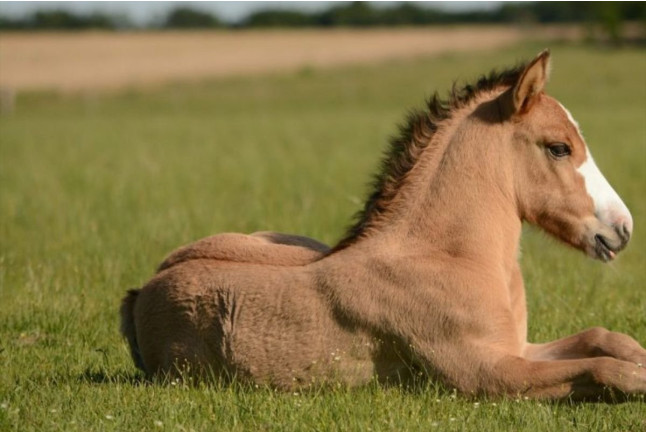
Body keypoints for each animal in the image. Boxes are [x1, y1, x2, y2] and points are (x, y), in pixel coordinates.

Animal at [120, 50, 645, 400]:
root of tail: (144, 288)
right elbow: (603, 369)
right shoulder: (486, 372)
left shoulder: (518, 346)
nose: (622, 227)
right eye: (559, 147)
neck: (449, 257)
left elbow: (605, 340)